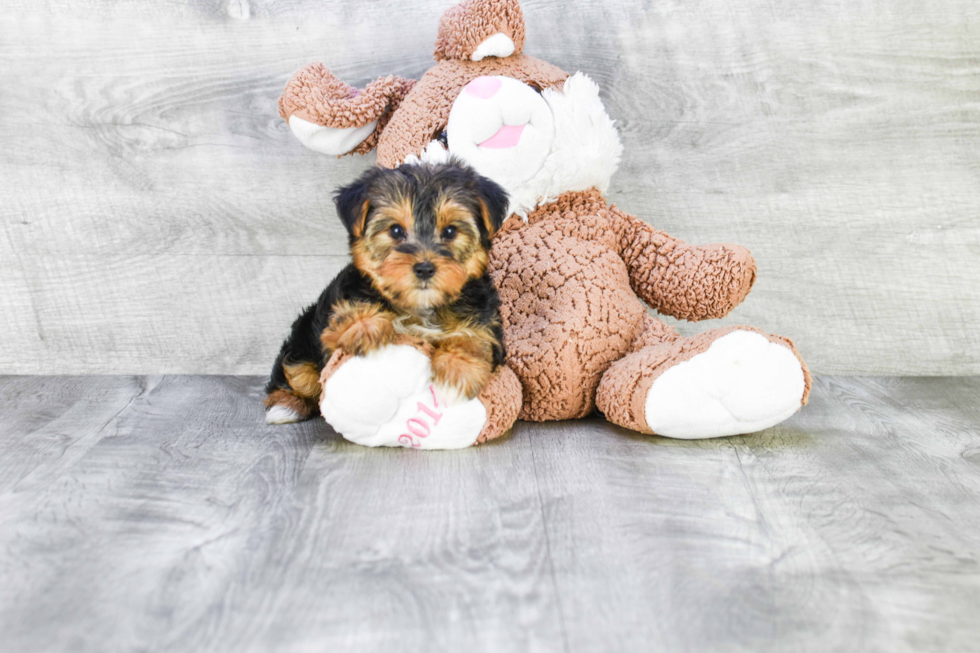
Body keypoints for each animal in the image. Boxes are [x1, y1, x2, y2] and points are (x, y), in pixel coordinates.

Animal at [264, 161, 510, 426]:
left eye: (450, 231)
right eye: (395, 231)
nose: (424, 268)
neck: (421, 306)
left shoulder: (485, 320)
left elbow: (475, 338)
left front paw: (456, 372)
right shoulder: (337, 315)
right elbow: (345, 316)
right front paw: (365, 327)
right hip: (303, 338)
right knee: (297, 374)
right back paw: (286, 405)